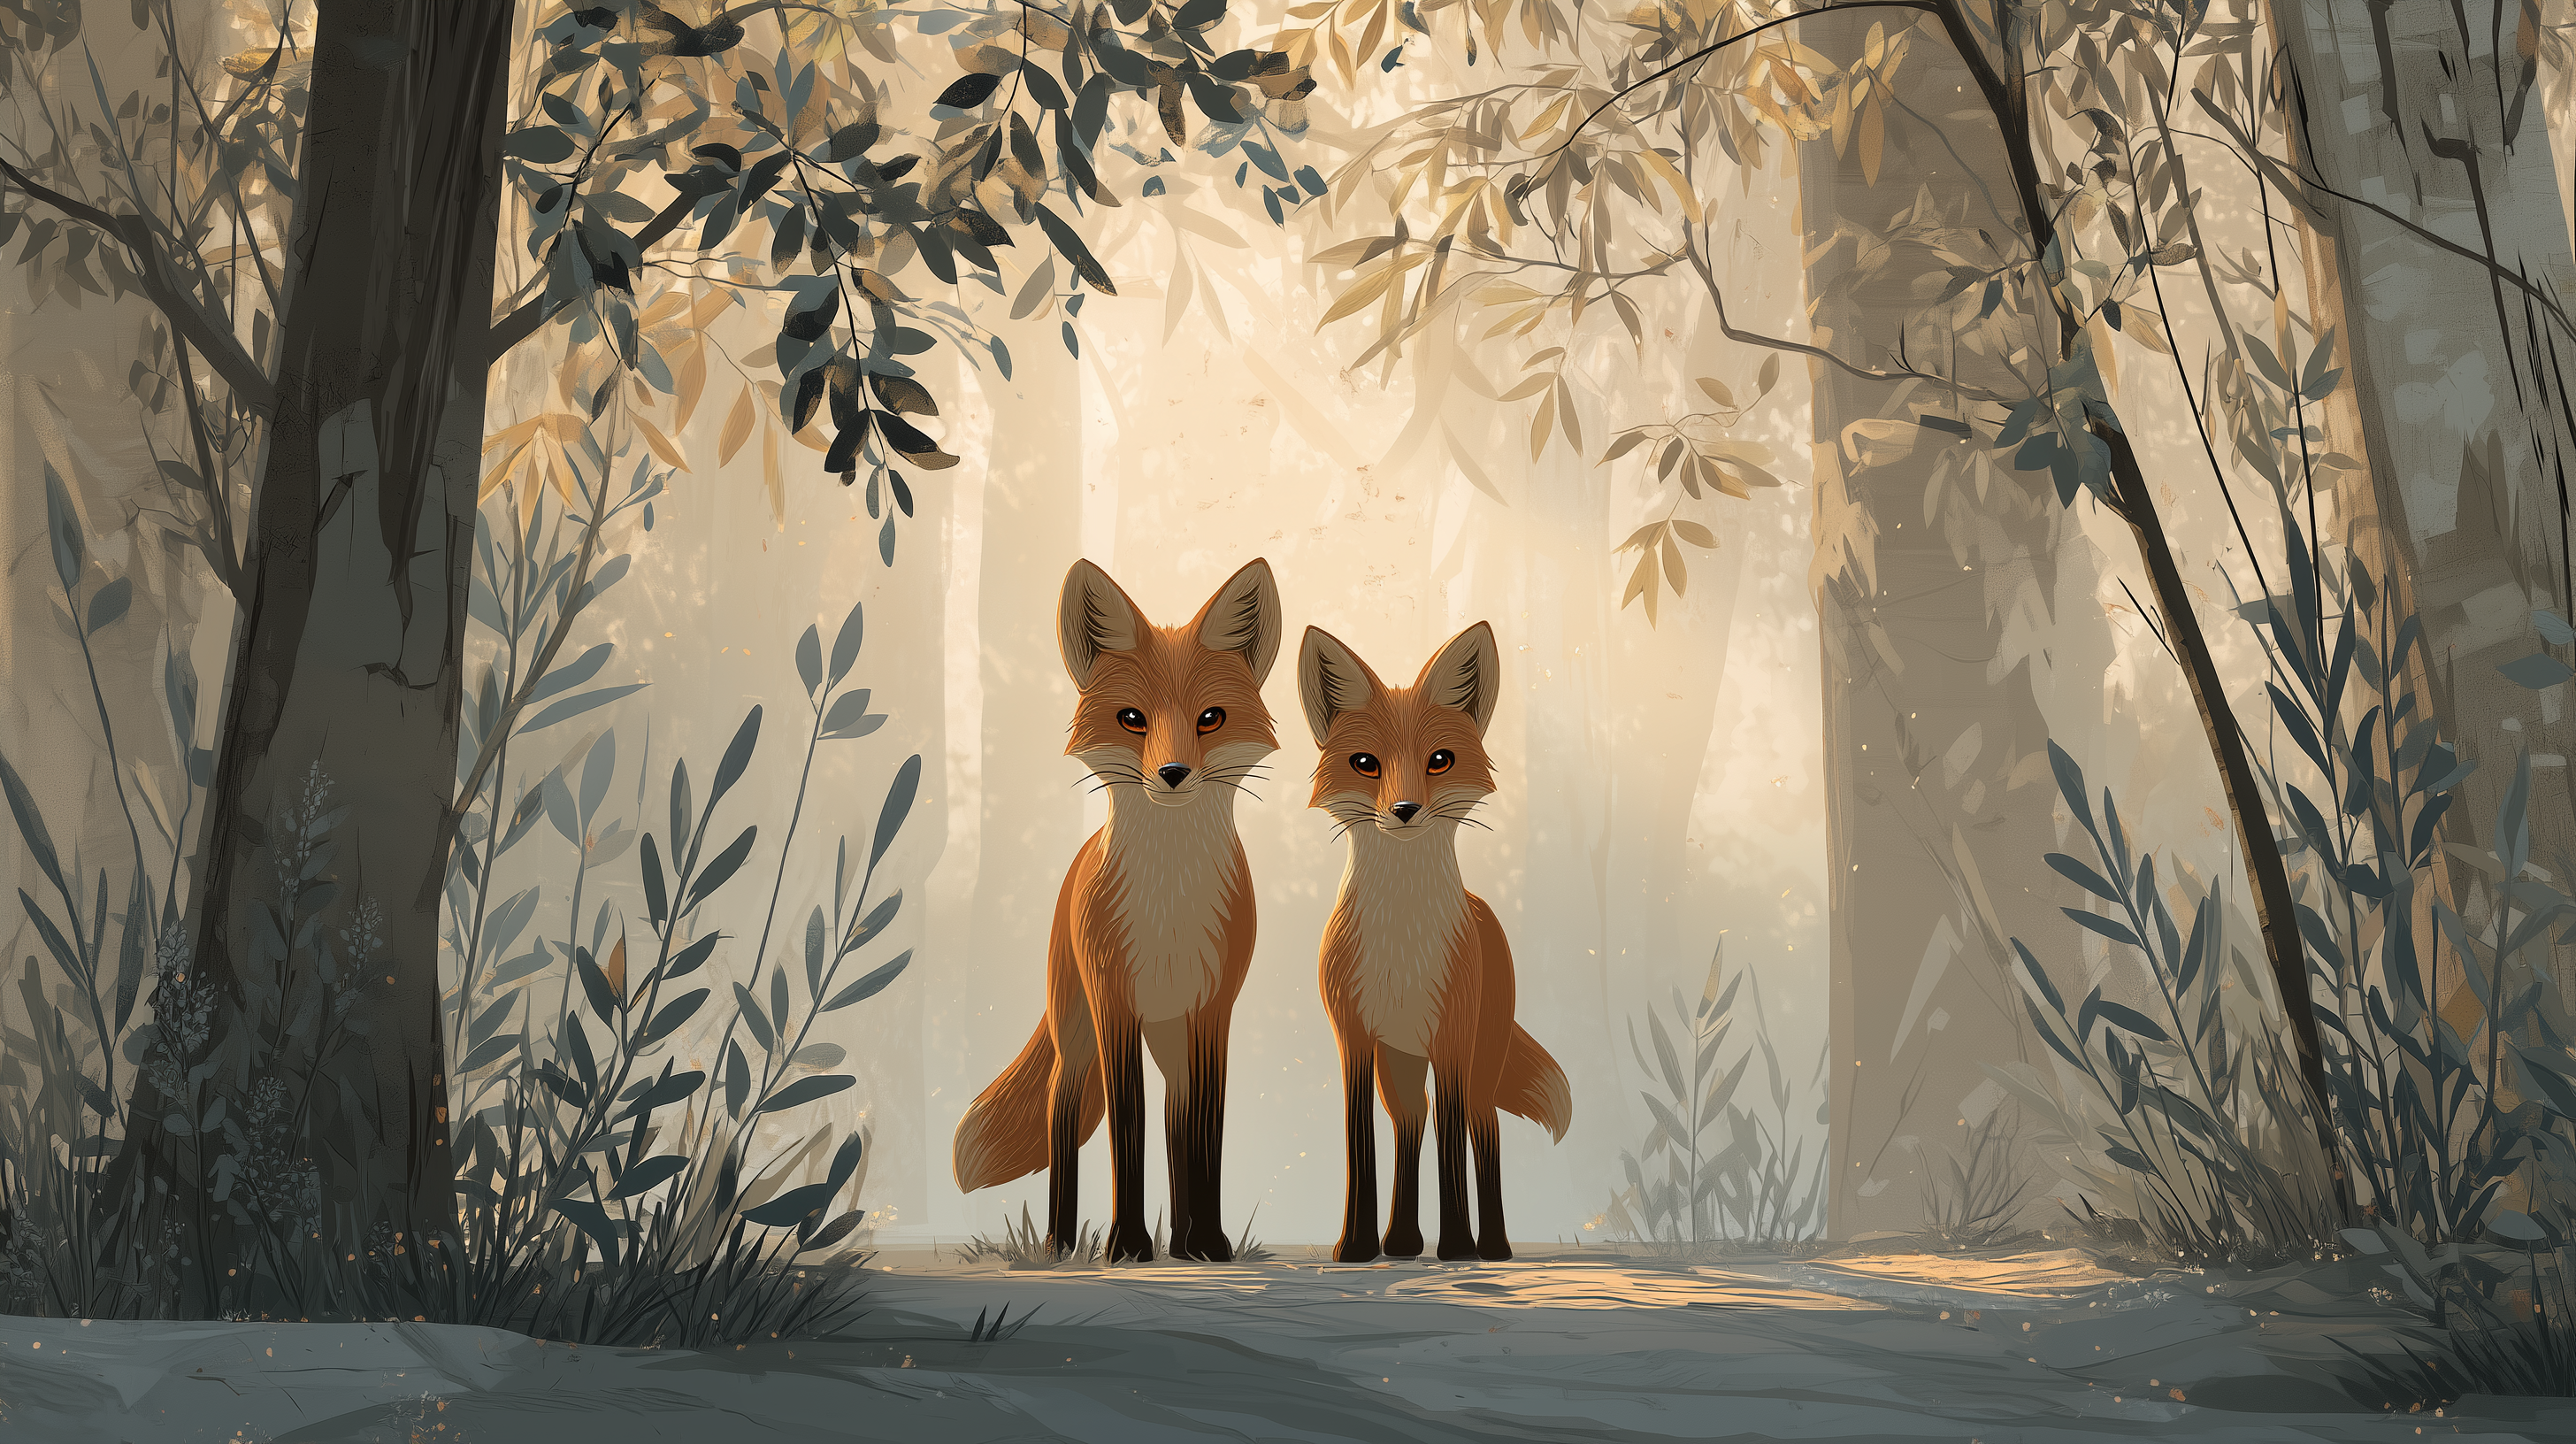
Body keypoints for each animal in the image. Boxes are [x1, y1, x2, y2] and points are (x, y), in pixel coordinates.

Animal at [951, 557, 1283, 1263]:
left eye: (1211, 718)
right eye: (1133, 718)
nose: (1174, 772)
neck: (1168, 906)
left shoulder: (1212, 1014)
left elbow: (1203, 1136)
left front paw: (1207, 1241)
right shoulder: (1114, 1006)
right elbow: (1127, 1127)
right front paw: (1128, 1242)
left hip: (1171, 1042)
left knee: (1178, 1126)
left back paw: (1182, 1241)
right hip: (1077, 1030)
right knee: (1062, 1108)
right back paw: (1058, 1241)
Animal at [1297, 622, 1572, 1263]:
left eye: (1439, 761)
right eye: (1366, 764)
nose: (1404, 809)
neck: (1402, 938)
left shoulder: (1451, 1033)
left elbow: (1453, 1145)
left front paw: (1457, 1247)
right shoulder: (1353, 1038)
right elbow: (1362, 1144)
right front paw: (1355, 1245)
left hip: (1479, 1060)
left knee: (1479, 1128)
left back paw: (1492, 1244)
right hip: (1398, 1067)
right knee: (1411, 1124)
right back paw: (1398, 1241)